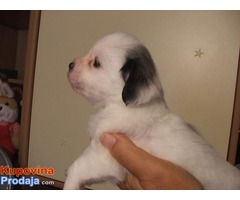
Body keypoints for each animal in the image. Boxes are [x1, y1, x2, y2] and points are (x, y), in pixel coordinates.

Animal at [65, 32, 240, 189]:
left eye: (96, 63)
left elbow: (77, 168)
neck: (119, 106)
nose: (70, 64)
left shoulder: (104, 157)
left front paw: (69, 182)